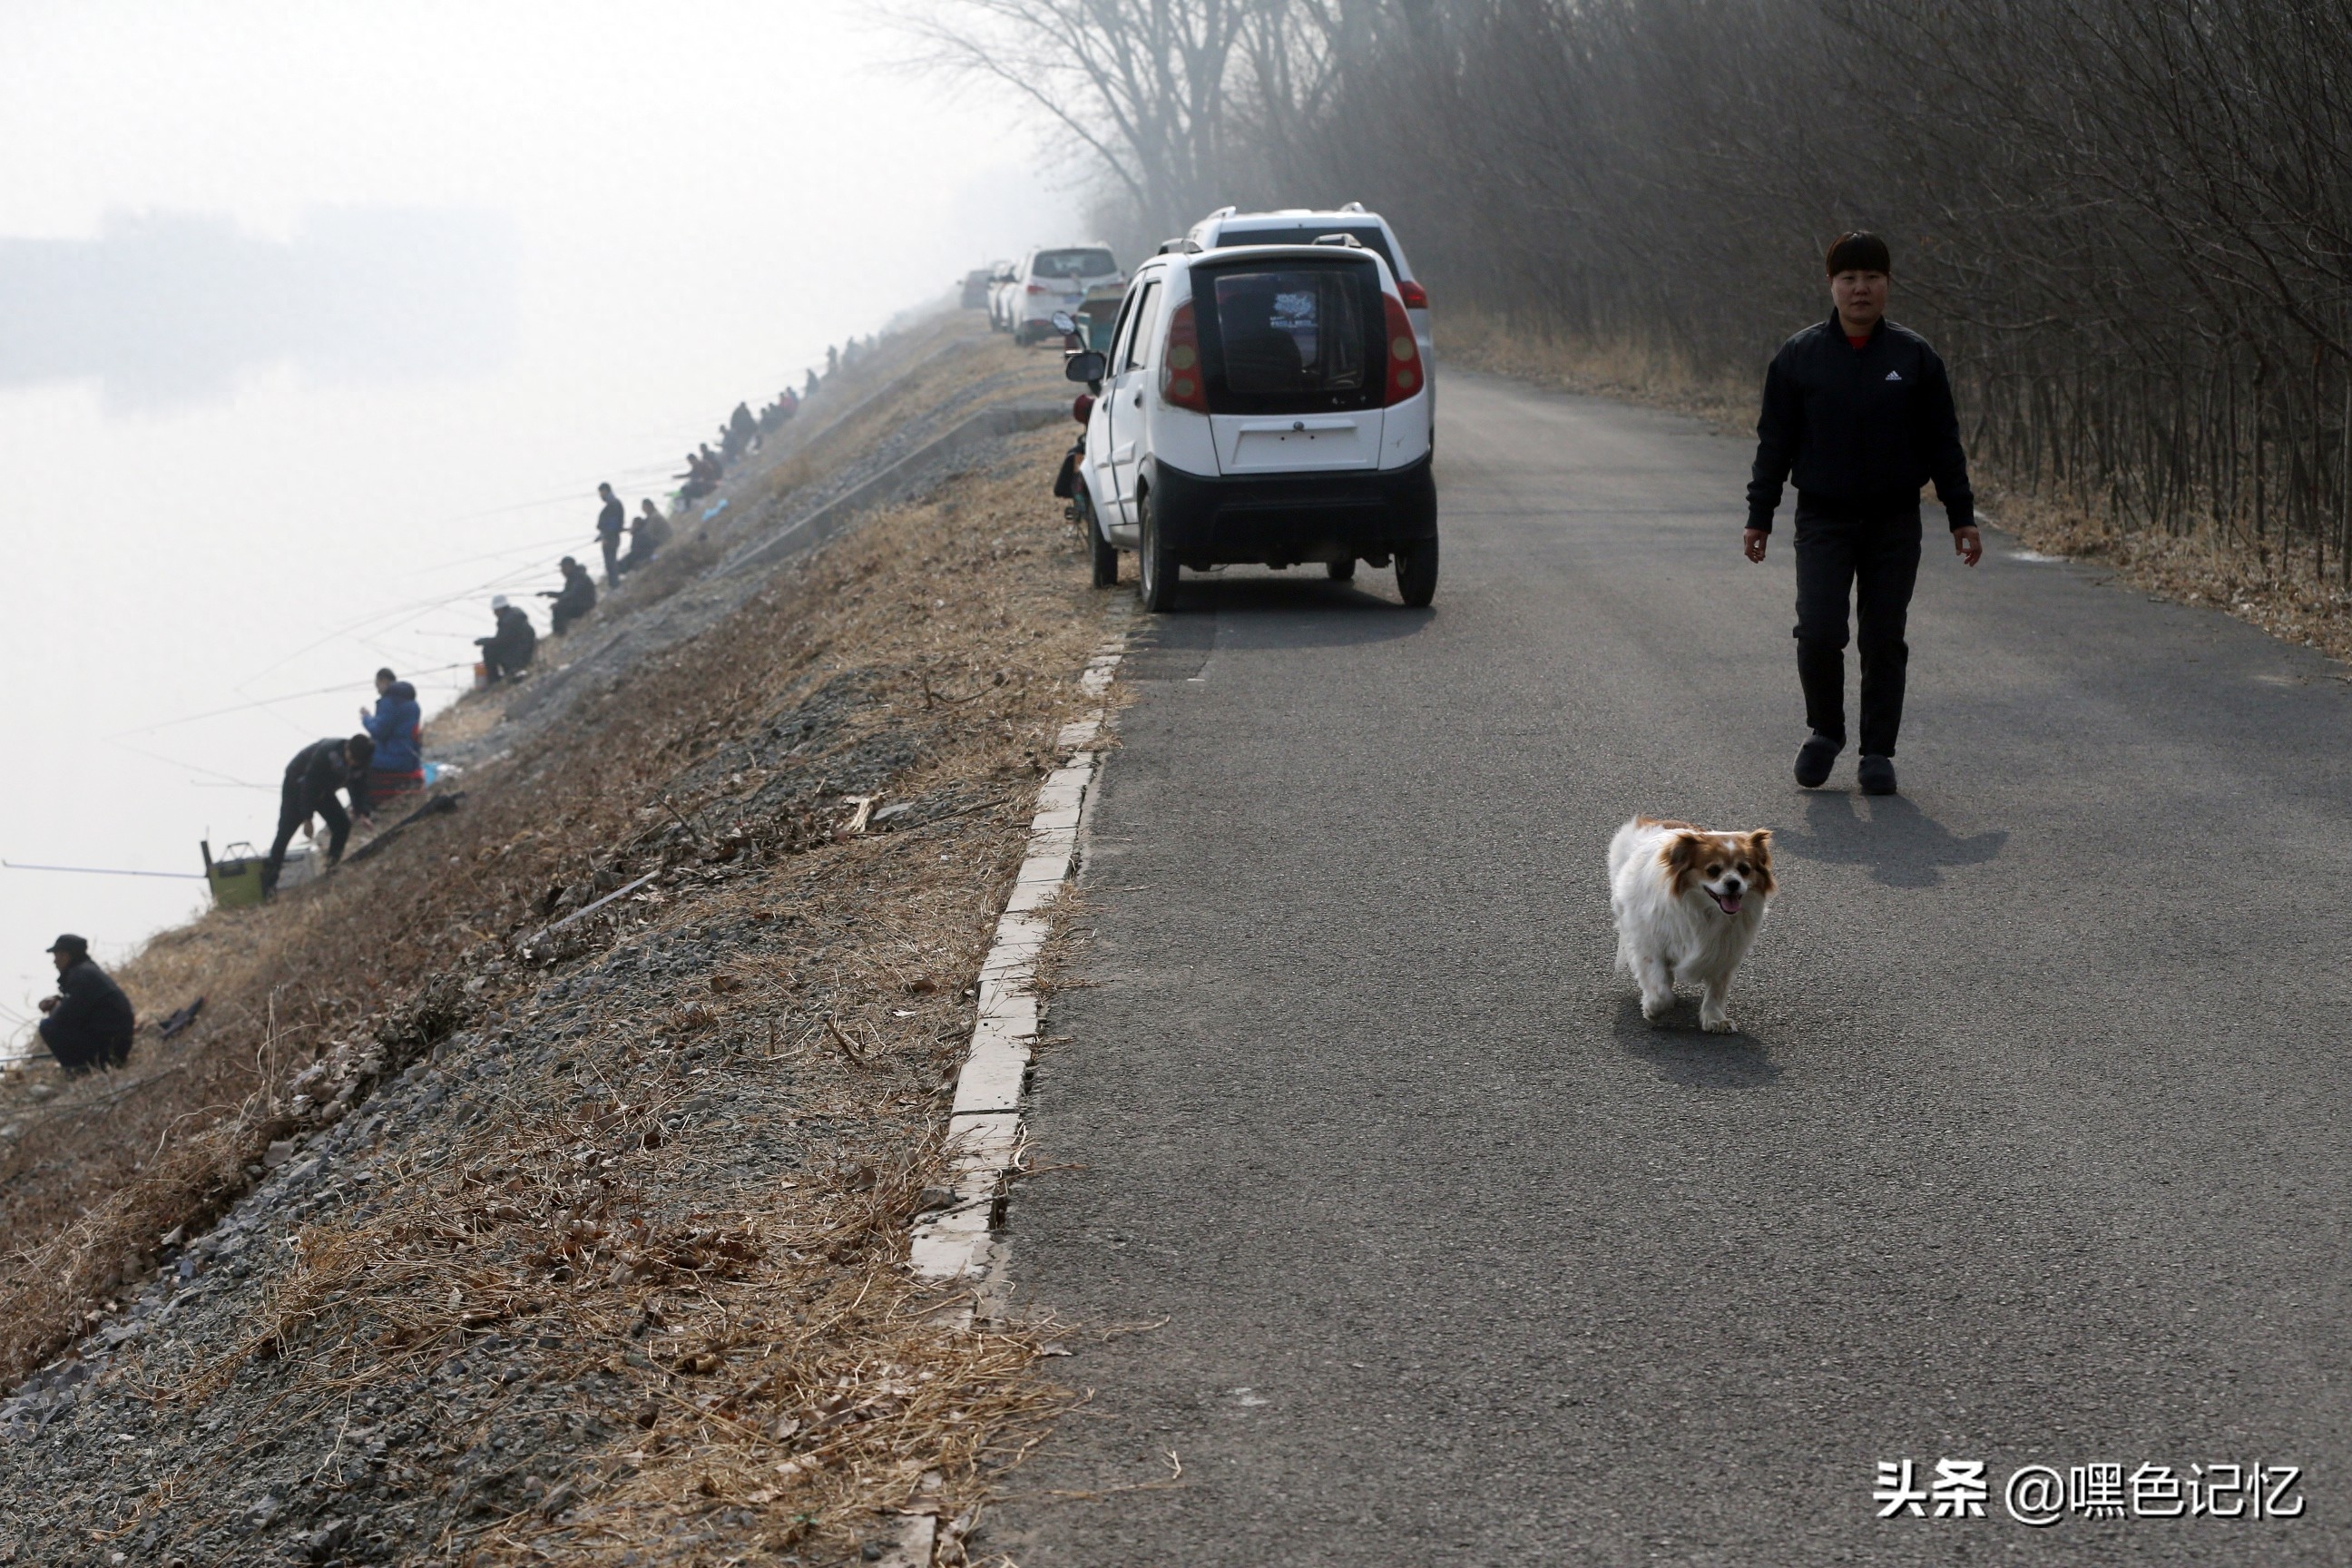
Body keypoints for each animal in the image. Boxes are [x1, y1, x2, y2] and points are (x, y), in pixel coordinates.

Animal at [1608, 818, 1769, 1034]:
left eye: (1744, 869)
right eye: (1713, 871)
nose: (1734, 883)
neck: (1707, 912)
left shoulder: (1724, 952)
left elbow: (1717, 989)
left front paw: (1715, 1018)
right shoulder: (1650, 946)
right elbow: (1660, 990)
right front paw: (1653, 1009)